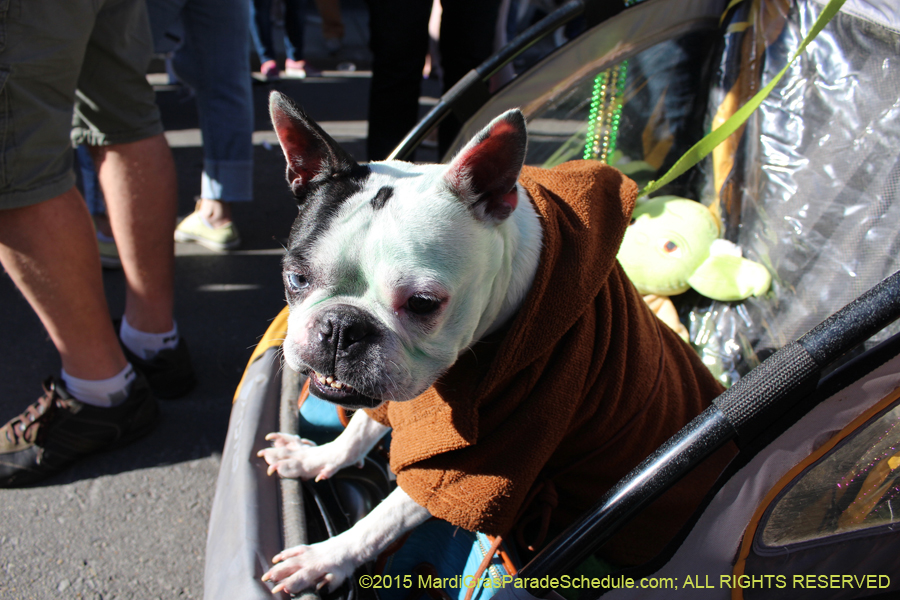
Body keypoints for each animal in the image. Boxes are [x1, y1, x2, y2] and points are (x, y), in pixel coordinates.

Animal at [256, 91, 728, 592]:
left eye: (423, 303)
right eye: (295, 277)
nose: (342, 326)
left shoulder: (483, 461)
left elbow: (383, 519)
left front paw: (325, 558)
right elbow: (361, 429)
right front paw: (316, 458)